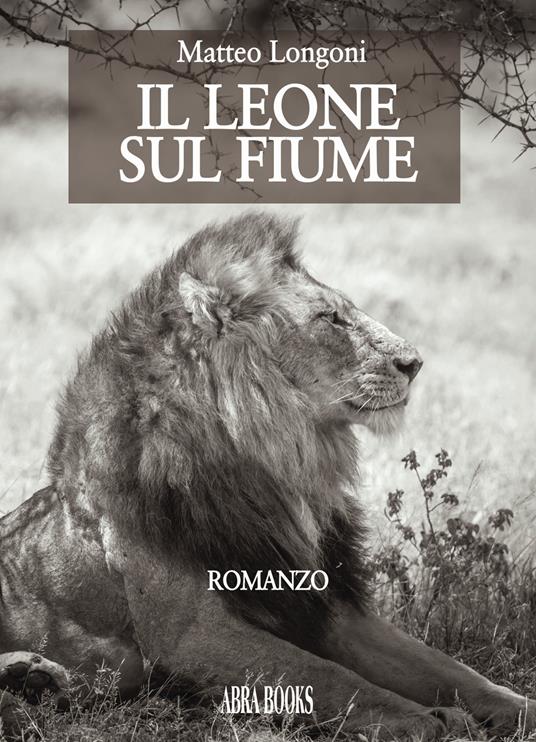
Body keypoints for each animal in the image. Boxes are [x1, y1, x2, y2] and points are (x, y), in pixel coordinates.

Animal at [0, 213, 534, 739]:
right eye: (329, 318)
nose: (415, 363)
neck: (278, 469)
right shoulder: (191, 634)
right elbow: (331, 677)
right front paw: (428, 719)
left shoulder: (329, 608)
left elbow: (453, 670)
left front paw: (519, 707)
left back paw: (37, 677)